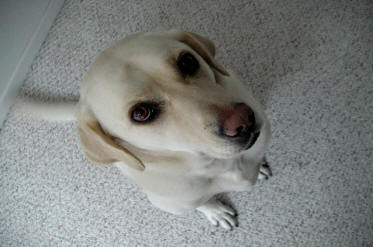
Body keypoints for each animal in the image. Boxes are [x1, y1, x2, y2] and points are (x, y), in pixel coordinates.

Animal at [21, 30, 270, 230]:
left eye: (187, 61)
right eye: (140, 113)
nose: (243, 120)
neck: (218, 164)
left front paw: (260, 166)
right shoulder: (177, 203)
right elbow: (204, 203)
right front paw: (216, 211)